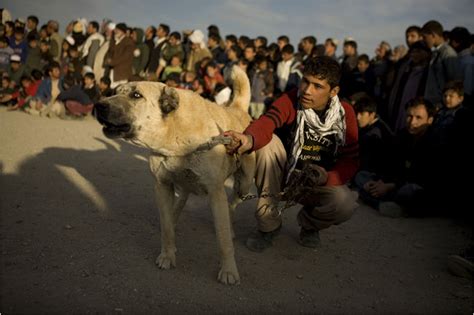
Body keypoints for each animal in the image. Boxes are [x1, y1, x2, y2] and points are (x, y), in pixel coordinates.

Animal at [94, 67, 254, 286]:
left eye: (136, 95)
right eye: (114, 92)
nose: (98, 105)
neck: (174, 136)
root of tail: (237, 109)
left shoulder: (216, 192)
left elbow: (223, 240)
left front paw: (229, 270)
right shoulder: (162, 185)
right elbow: (167, 227)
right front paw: (167, 255)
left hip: (244, 183)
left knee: (232, 203)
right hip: (183, 183)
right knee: (181, 200)